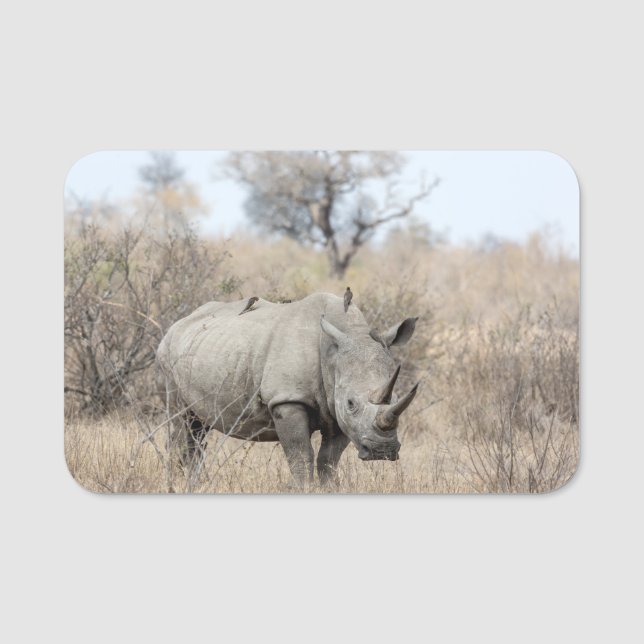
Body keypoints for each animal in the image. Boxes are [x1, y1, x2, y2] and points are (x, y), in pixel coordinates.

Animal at [156, 292, 420, 486]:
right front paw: (304, 488)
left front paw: (328, 488)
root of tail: (178, 323)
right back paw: (179, 485)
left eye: (397, 397)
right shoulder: (287, 400)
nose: (381, 451)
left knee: (198, 429)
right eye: (351, 403)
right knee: (183, 423)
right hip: (167, 357)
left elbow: (328, 461)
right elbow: (301, 456)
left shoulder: (337, 411)